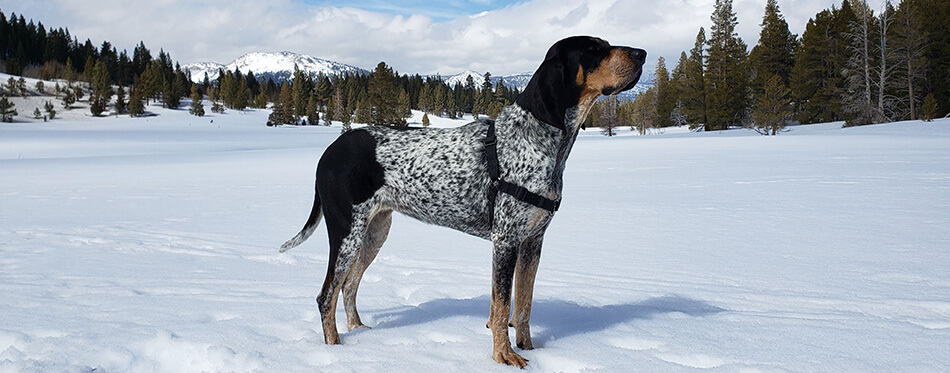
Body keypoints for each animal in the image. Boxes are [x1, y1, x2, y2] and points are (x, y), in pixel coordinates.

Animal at [278, 36, 648, 364]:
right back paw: (336, 351)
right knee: (326, 295)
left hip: (375, 231)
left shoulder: (532, 242)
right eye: (594, 48)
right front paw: (503, 356)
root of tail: (329, 151)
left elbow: (523, 306)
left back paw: (359, 332)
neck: (543, 141)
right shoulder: (506, 241)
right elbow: (502, 307)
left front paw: (529, 349)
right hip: (346, 232)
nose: (642, 53)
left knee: (349, 285)